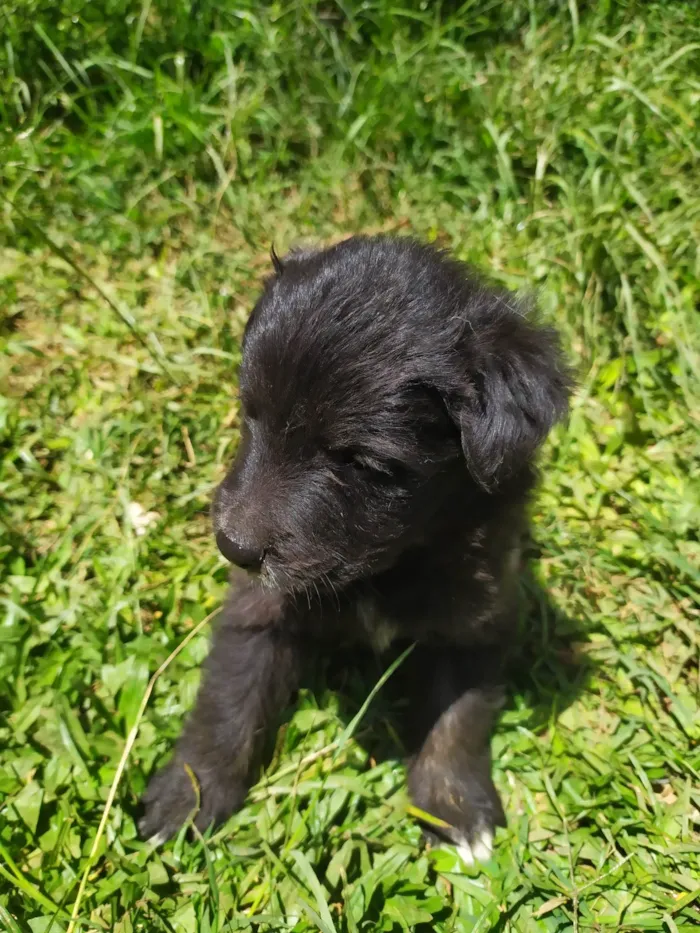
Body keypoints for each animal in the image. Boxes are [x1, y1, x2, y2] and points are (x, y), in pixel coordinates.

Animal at [138, 233, 568, 860]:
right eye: (250, 417)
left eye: (365, 463)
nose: (232, 546)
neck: (388, 568)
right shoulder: (260, 606)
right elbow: (229, 699)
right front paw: (188, 795)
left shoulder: (477, 613)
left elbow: (456, 717)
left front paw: (454, 809)